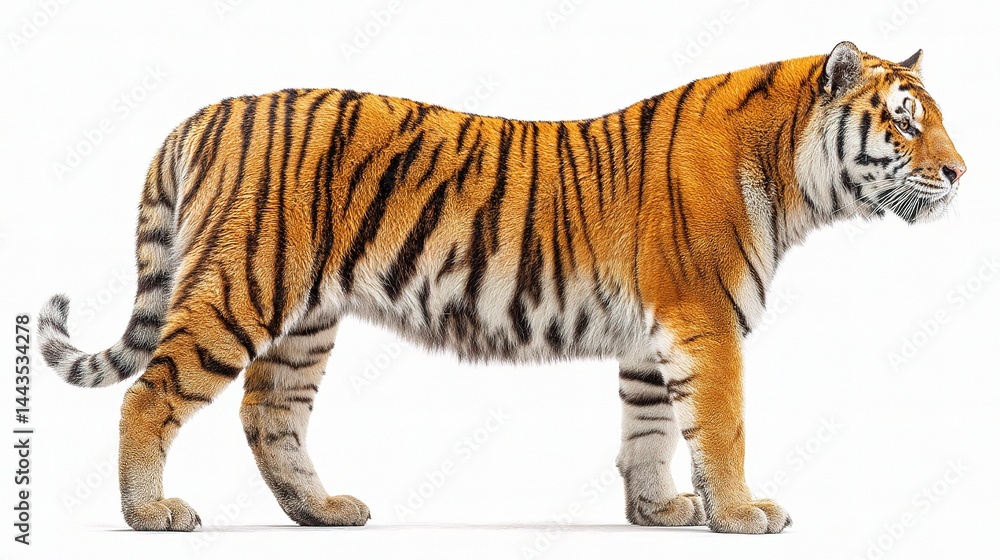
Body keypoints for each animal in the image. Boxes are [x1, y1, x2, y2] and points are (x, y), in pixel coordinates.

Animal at [38, 41, 964, 534]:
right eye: (906, 123)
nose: (960, 172)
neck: (793, 176)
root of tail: (204, 112)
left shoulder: (651, 335)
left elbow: (650, 429)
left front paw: (658, 512)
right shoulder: (704, 319)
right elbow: (723, 427)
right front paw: (740, 516)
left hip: (305, 318)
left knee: (269, 414)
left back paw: (322, 511)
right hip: (242, 287)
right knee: (150, 394)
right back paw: (149, 514)